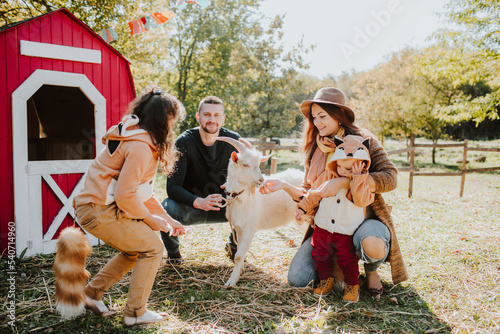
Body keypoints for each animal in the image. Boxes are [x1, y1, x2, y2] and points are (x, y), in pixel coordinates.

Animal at [216, 137, 306, 286]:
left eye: (258, 164)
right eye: (245, 165)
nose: (261, 180)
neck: (242, 198)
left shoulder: (249, 228)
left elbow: (238, 255)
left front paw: (232, 281)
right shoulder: (239, 228)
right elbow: (240, 252)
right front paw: (240, 272)